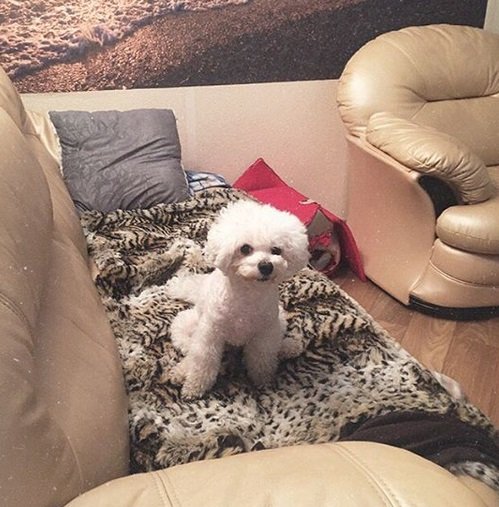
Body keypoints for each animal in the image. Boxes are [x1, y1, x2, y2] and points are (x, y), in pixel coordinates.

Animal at [166, 198, 310, 400]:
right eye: (245, 248)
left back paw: (287, 347)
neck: (248, 295)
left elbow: (262, 360)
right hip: (185, 325)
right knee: (191, 350)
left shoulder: (263, 334)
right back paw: (181, 371)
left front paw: (263, 381)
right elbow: (203, 362)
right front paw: (194, 387)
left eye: (276, 250)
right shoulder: (211, 334)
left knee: (278, 342)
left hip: (278, 320)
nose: (266, 266)